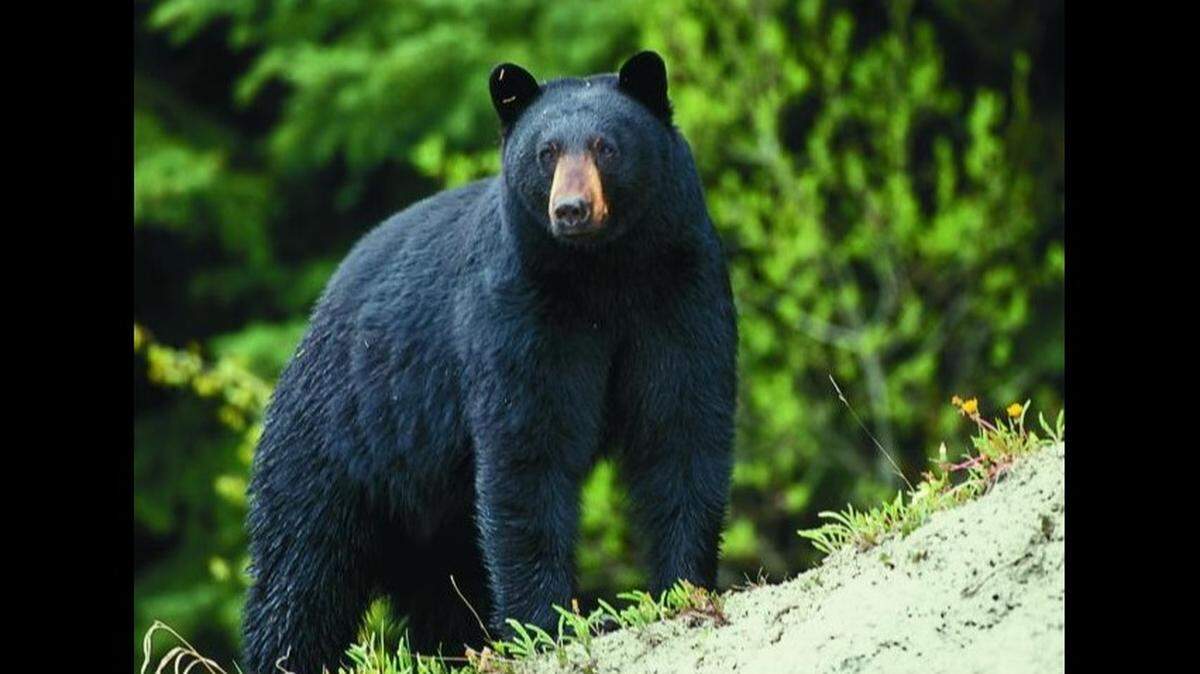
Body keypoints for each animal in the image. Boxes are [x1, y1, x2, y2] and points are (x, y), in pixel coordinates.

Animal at [241, 50, 737, 674]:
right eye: (546, 152)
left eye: (606, 146)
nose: (571, 210)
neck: (603, 271)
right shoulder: (519, 312)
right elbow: (527, 450)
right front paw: (549, 623)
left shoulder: (679, 290)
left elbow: (682, 423)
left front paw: (683, 587)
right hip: (338, 445)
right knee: (302, 569)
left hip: (429, 508)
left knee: (441, 584)